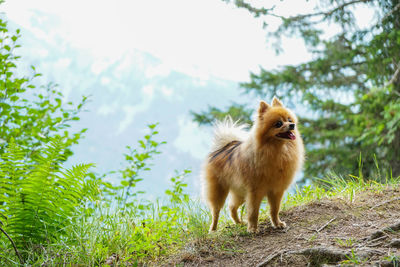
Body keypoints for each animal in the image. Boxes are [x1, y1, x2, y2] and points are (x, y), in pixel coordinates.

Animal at [203, 97, 304, 233]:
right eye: (278, 123)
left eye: (289, 120)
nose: (292, 125)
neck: (278, 150)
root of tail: (224, 147)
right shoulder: (255, 191)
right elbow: (253, 212)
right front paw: (252, 228)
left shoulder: (276, 190)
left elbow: (274, 210)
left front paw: (277, 223)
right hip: (219, 191)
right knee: (216, 212)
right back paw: (213, 229)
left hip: (240, 192)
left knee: (232, 207)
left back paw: (239, 222)